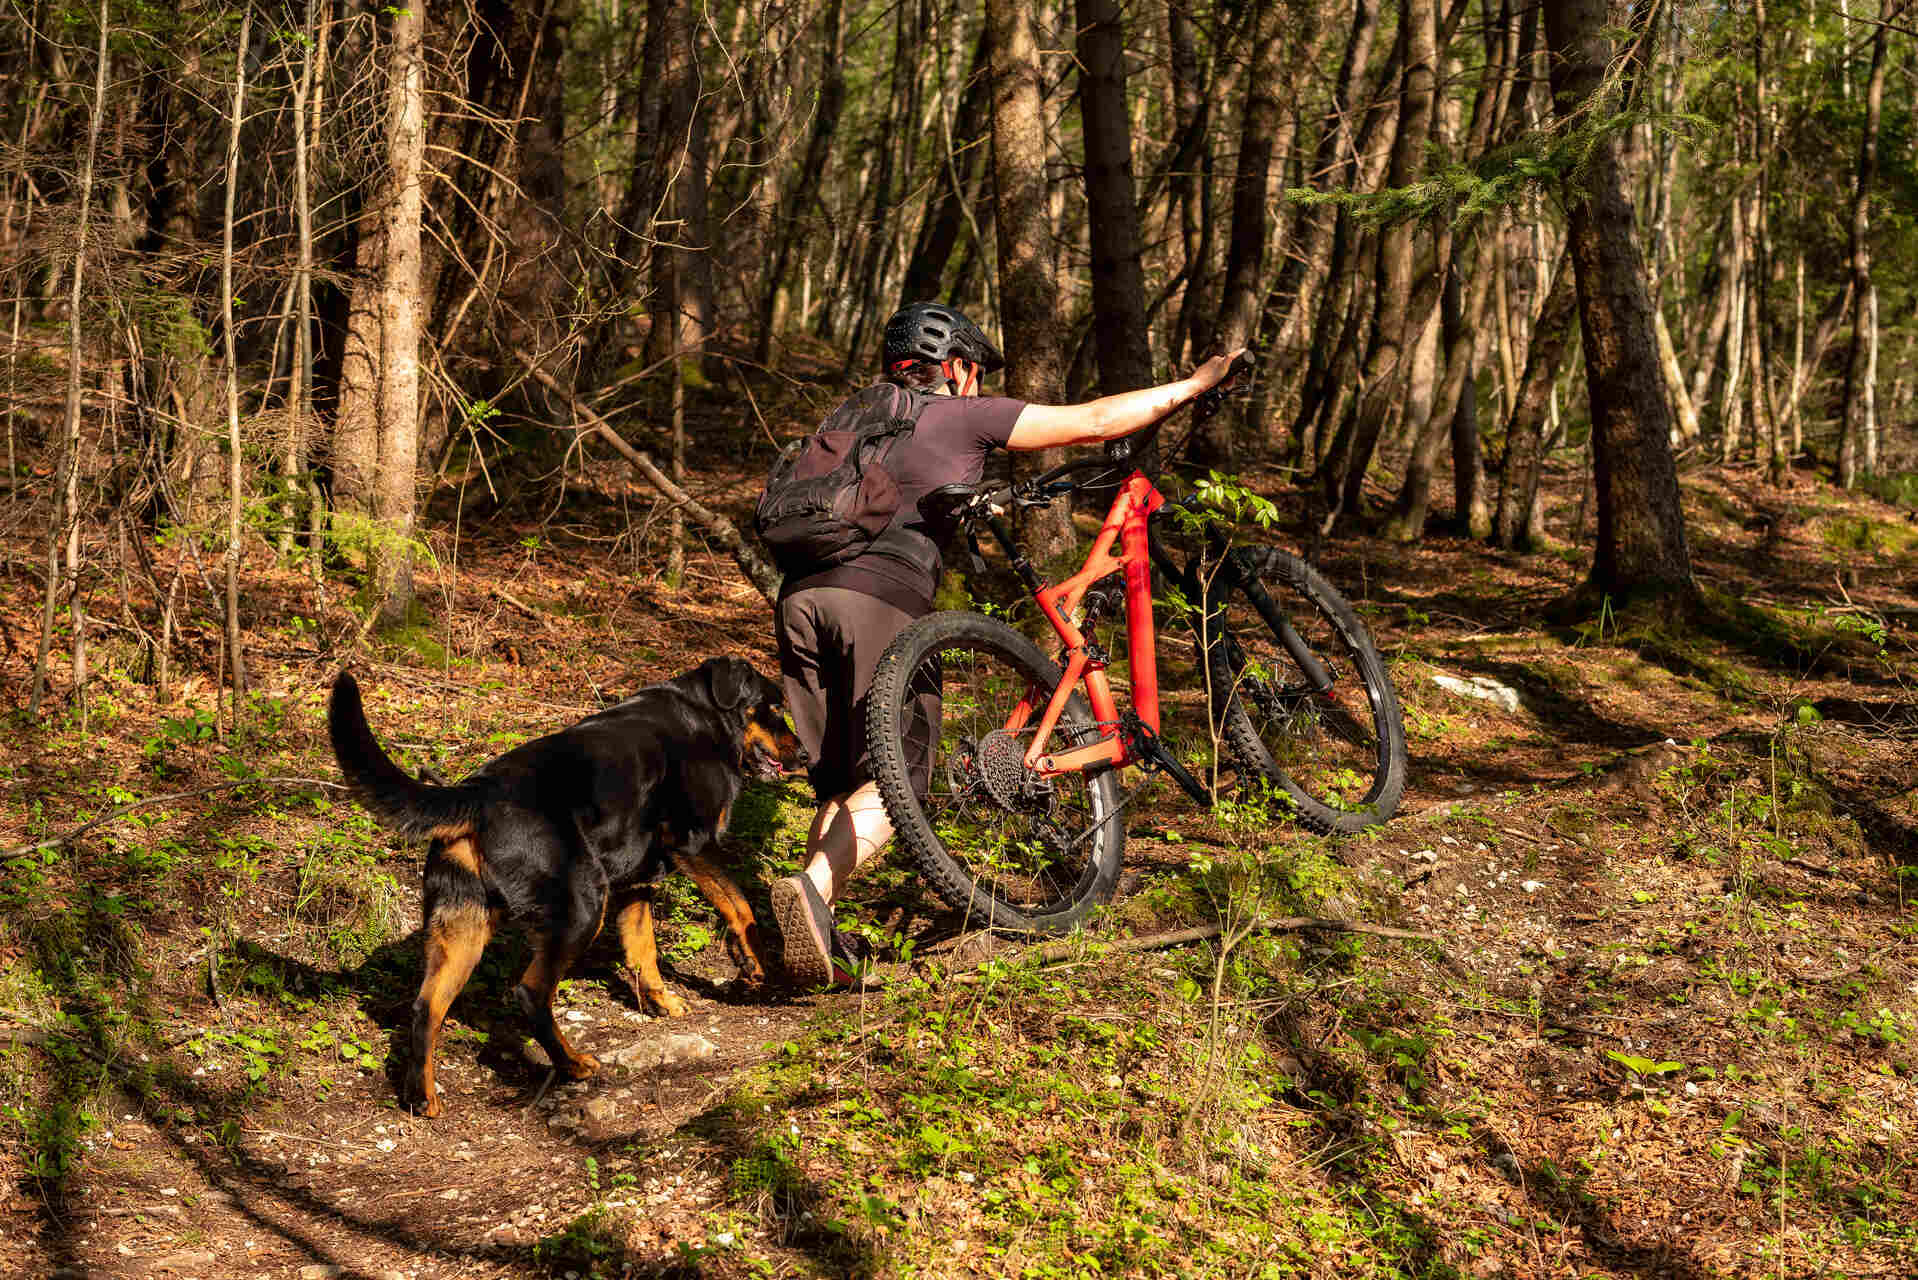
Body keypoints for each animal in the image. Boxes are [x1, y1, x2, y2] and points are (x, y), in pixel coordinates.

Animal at [326, 656, 805, 1113]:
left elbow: (643, 952)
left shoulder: (636, 885)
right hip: (583, 907)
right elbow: (740, 906)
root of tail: (478, 793)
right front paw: (753, 963)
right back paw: (572, 1064)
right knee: (531, 994)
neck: (706, 715)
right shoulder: (693, 844)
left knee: (427, 1007)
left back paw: (422, 1098)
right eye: (774, 706)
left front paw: (662, 1002)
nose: (803, 757)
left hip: (463, 927)